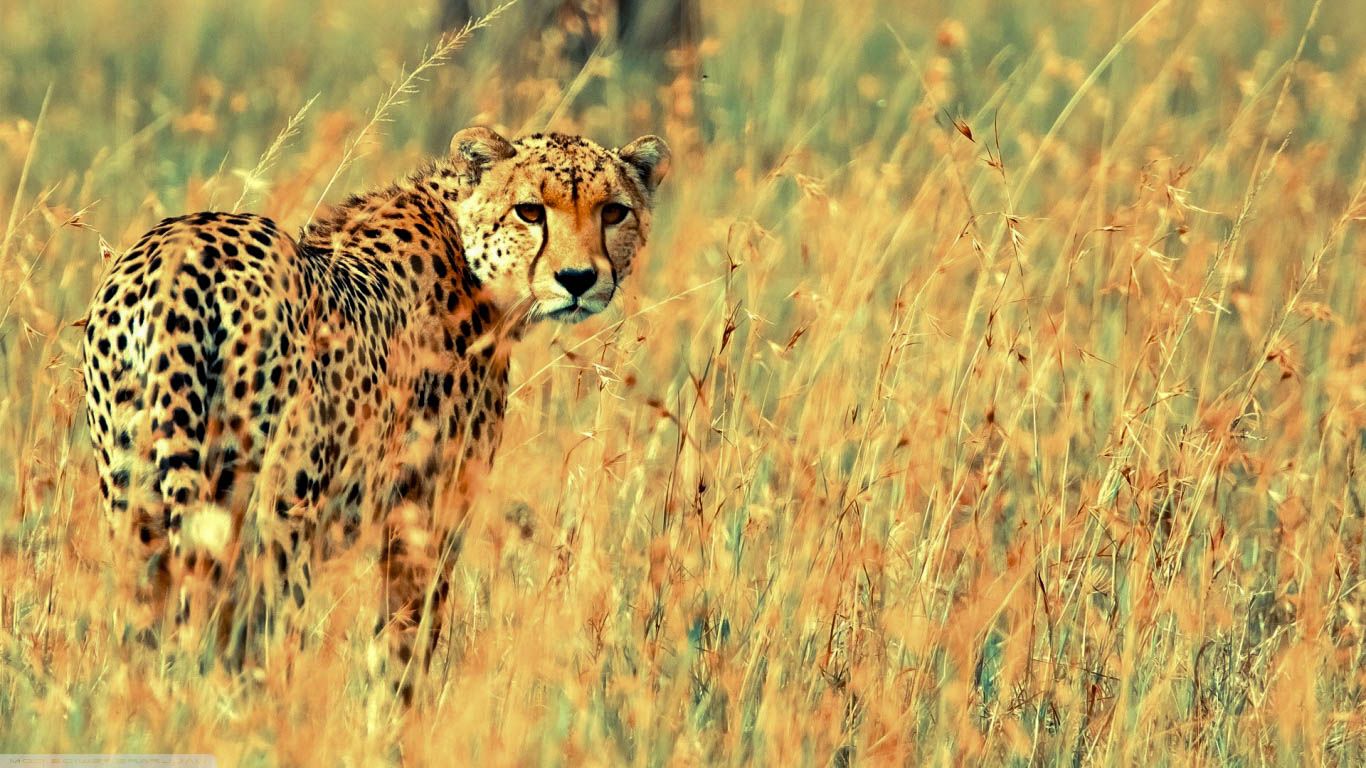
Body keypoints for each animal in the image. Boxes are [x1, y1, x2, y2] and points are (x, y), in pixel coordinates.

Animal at [80, 127, 669, 692]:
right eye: (529, 210)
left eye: (613, 211)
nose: (578, 279)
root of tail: (179, 251)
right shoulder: (425, 516)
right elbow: (404, 651)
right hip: (277, 512)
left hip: (134, 502)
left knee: (144, 636)